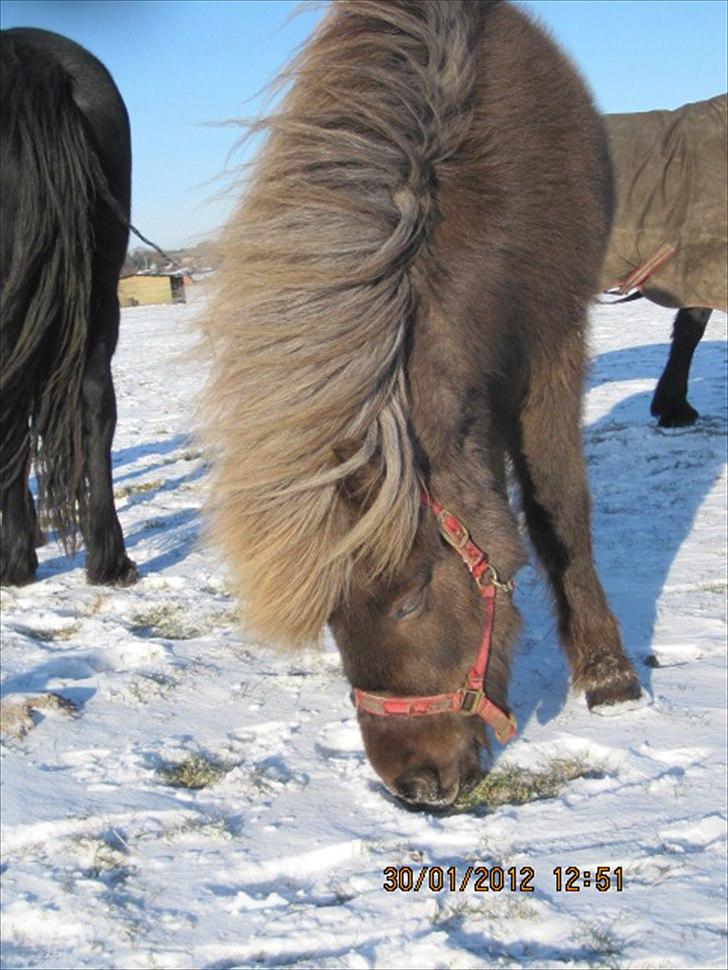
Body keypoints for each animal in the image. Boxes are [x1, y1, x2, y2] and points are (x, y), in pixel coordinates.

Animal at [202, 1, 640, 808]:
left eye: (408, 599)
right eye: (331, 617)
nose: (413, 783)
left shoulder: (555, 338)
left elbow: (559, 503)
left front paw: (608, 674)